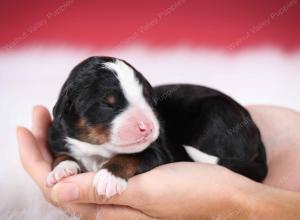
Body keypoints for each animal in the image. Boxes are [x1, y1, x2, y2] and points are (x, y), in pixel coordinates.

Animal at [46, 56, 268, 198]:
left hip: (215, 113)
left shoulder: (158, 151)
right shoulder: (57, 135)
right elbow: (61, 153)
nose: (148, 127)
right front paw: (62, 169)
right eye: (108, 104)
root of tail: (256, 132)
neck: (98, 150)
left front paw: (109, 176)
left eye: (147, 97)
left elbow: (130, 156)